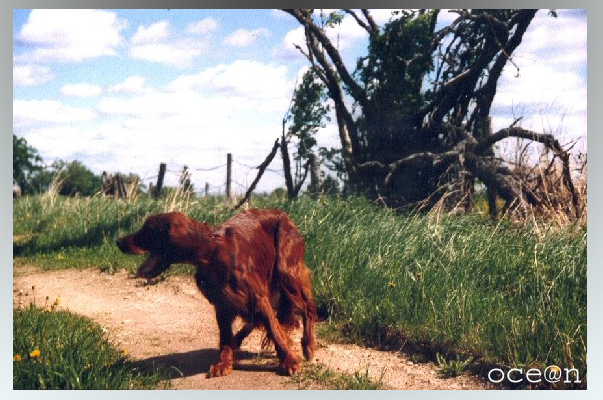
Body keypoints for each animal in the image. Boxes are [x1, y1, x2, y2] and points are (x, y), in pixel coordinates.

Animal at [115, 208, 318, 376]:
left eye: (147, 230)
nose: (118, 242)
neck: (212, 255)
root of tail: (283, 214)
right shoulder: (223, 304)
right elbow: (226, 338)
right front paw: (224, 363)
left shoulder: (257, 297)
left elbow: (274, 330)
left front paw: (289, 361)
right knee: (254, 321)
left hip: (286, 273)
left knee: (307, 307)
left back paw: (308, 345)